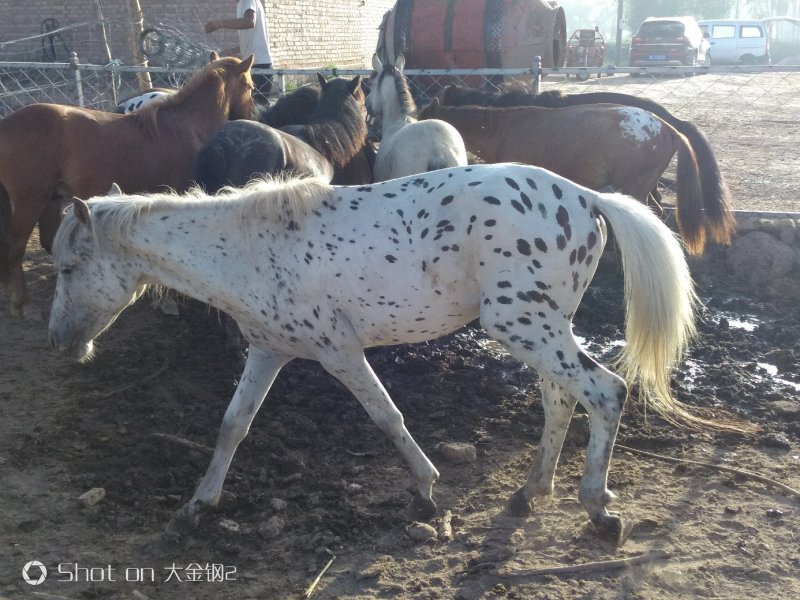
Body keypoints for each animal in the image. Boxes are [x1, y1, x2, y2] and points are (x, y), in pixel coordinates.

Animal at [0, 53, 256, 319]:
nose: (251, 117)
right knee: (13, 247)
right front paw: (169, 300)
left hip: (51, 199)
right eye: (250, 87)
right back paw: (24, 305)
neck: (189, 124)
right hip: (31, 201)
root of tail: (6, 124)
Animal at [48, 162, 706, 542]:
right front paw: (194, 508)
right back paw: (529, 495)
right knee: (561, 398)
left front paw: (428, 492)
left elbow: (387, 416)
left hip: (522, 324)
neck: (247, 250)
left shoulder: (338, 351)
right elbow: (233, 425)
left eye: (68, 267)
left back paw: (599, 510)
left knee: (605, 391)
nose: (60, 343)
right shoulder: (267, 352)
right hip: (543, 324)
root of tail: (586, 196)